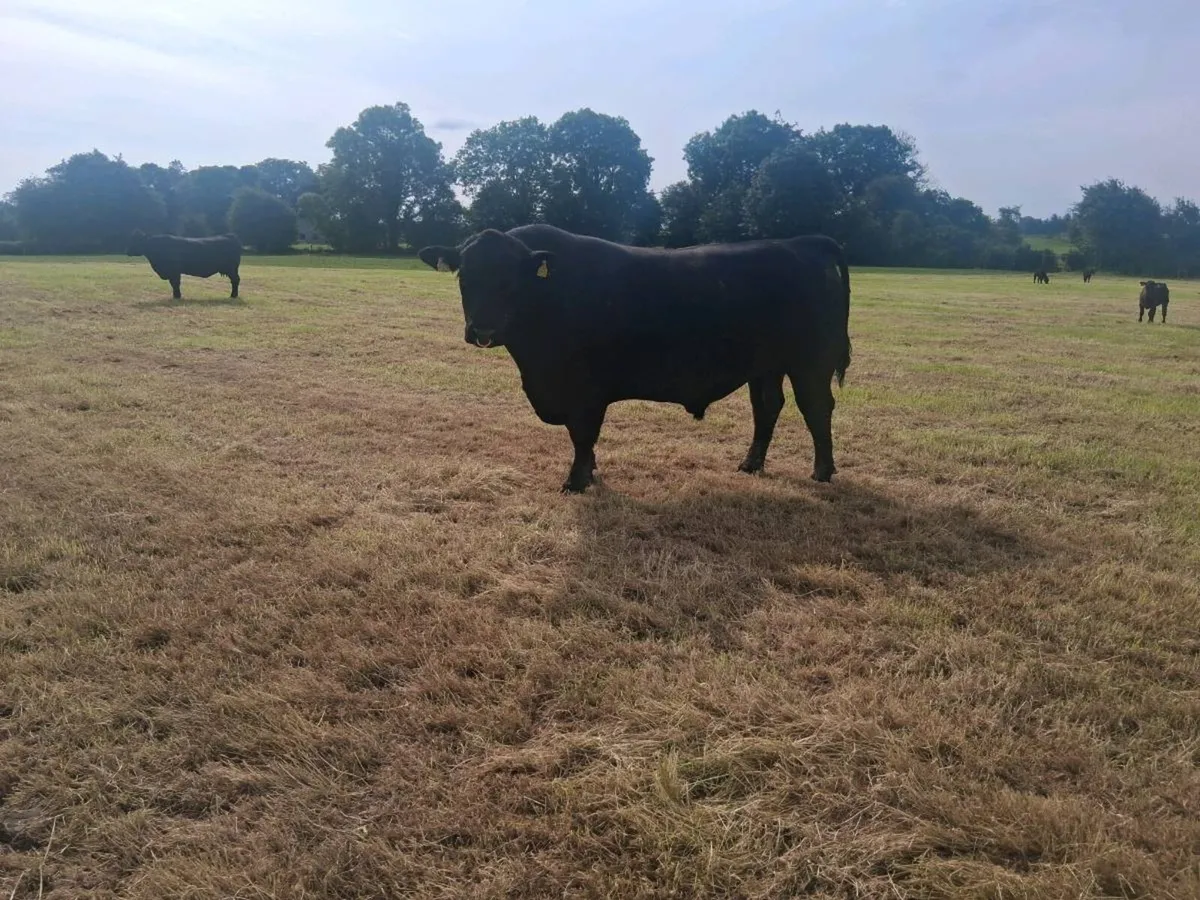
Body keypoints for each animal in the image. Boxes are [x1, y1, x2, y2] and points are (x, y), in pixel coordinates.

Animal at [419, 224, 852, 494]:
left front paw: (577, 481)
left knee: (817, 408)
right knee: (767, 407)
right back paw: (751, 464)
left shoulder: (584, 391)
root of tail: (803, 241)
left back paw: (822, 472)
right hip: (766, 366)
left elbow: (582, 435)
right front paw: (590, 473)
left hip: (811, 363)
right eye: (463, 276)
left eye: (511, 280)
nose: (483, 330)